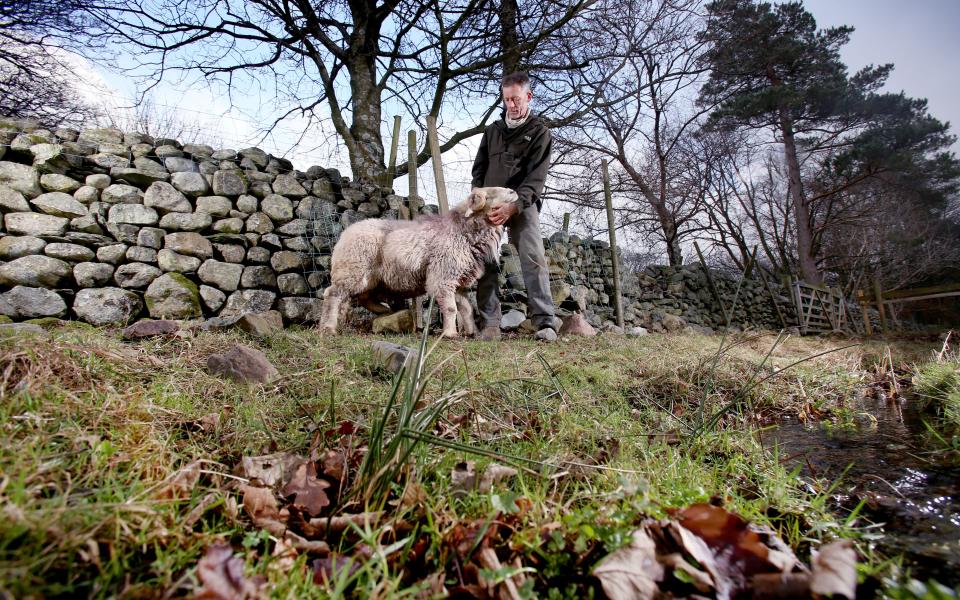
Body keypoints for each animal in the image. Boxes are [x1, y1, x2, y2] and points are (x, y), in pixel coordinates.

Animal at [318, 188, 516, 338]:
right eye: (490, 194)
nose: (513, 191)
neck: (462, 231)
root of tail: (345, 233)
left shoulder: (457, 280)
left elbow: (466, 309)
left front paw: (471, 332)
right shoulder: (443, 276)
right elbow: (451, 308)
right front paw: (450, 334)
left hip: (370, 276)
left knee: (363, 297)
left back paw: (383, 310)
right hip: (352, 269)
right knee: (333, 294)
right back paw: (328, 327)